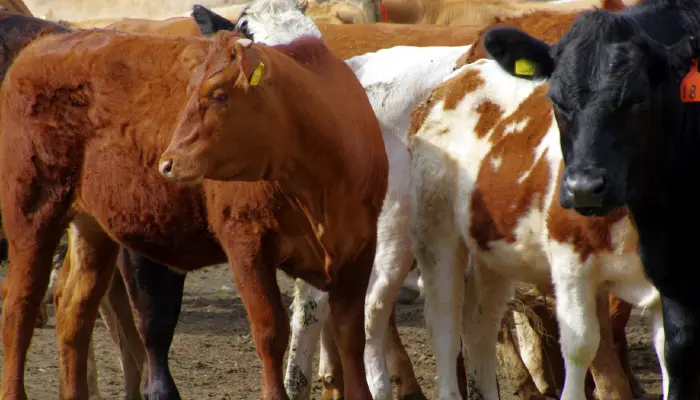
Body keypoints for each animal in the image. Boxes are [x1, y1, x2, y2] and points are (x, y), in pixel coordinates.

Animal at [407, 53, 665, 400]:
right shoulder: (571, 262)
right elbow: (581, 344)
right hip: (437, 235)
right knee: (445, 324)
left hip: (494, 253)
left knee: (480, 327)